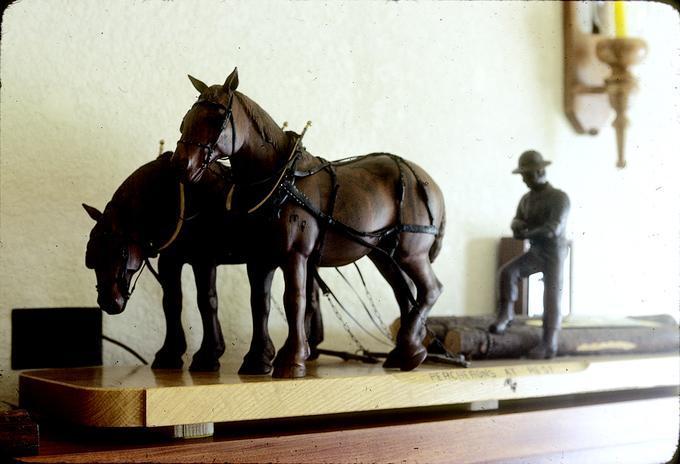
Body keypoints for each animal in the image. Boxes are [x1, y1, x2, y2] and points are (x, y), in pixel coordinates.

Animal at [81, 152, 322, 374]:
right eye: (90, 259)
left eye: (122, 252)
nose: (108, 302)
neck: (178, 199)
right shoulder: (170, 261)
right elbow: (172, 301)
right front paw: (170, 354)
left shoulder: (203, 259)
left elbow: (206, 301)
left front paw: (208, 354)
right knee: (308, 296)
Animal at [170, 70, 446, 378]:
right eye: (186, 118)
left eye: (217, 119)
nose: (181, 165)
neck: (281, 180)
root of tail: (426, 180)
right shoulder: (260, 259)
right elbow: (260, 304)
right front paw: (257, 360)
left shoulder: (295, 255)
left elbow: (295, 300)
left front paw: (291, 359)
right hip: (385, 255)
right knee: (404, 294)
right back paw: (403, 352)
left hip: (412, 253)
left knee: (430, 291)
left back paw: (412, 351)